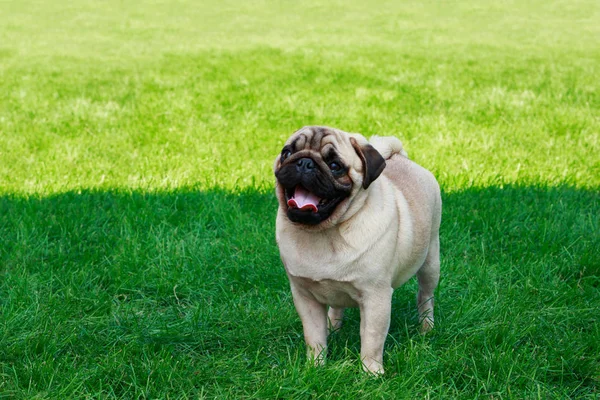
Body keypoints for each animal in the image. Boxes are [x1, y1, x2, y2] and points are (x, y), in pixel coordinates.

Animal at [274, 126, 440, 376]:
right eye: (287, 153)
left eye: (335, 165)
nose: (304, 162)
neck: (325, 232)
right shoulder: (305, 296)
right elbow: (314, 337)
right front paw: (315, 366)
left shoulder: (376, 297)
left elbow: (371, 339)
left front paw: (371, 373)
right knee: (336, 307)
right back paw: (333, 327)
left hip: (430, 263)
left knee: (425, 297)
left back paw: (426, 328)